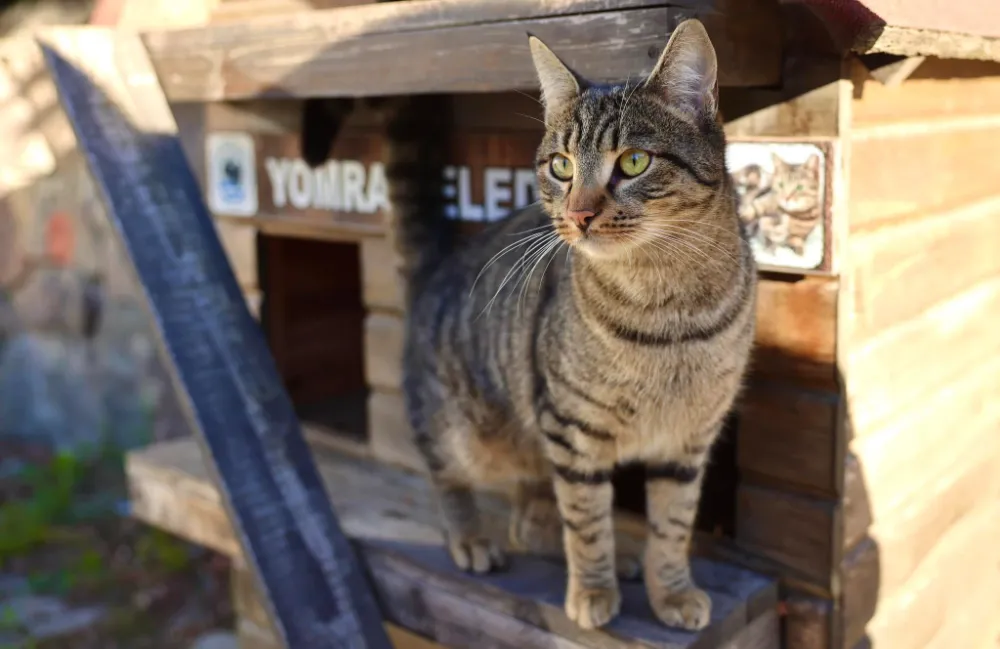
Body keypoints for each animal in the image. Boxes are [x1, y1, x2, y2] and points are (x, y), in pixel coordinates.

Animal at [386, 21, 752, 632]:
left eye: (634, 162)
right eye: (561, 166)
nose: (579, 214)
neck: (668, 309)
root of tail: (439, 265)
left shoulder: (689, 439)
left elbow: (673, 526)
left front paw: (672, 591)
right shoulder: (572, 430)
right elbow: (586, 522)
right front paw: (593, 591)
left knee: (529, 521)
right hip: (460, 431)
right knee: (450, 478)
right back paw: (469, 538)